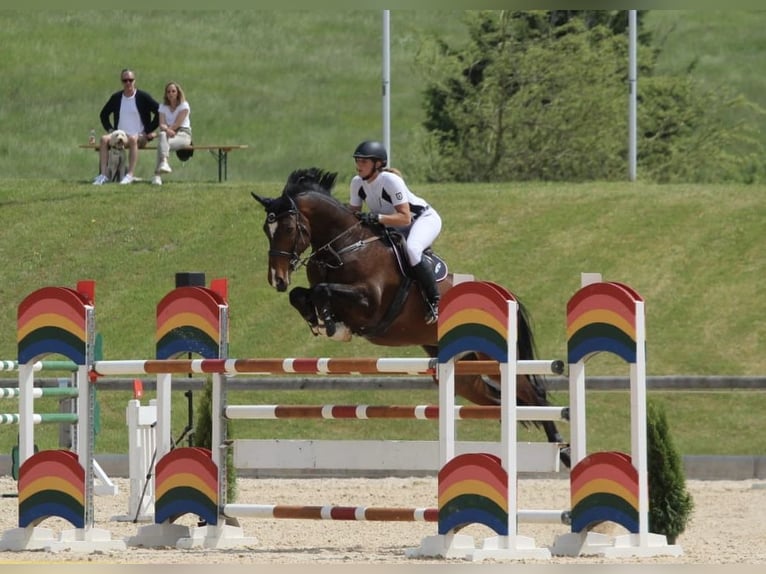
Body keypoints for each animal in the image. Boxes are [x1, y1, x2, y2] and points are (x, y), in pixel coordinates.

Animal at [252, 166, 568, 468]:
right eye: (266, 229)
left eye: (289, 228)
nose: (277, 279)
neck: (344, 246)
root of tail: (502, 293)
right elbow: (301, 295)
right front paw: (318, 320)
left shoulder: (370, 304)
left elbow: (322, 290)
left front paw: (331, 324)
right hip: (464, 370)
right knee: (499, 402)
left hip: (493, 358)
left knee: (534, 395)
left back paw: (563, 450)